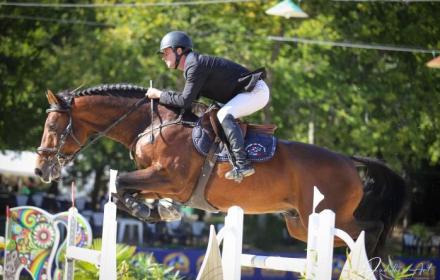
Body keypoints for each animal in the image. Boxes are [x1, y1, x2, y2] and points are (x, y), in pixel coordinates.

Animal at [34, 83, 406, 256]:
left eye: (52, 126)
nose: (40, 171)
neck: (153, 124)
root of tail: (349, 161)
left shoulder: (170, 178)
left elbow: (121, 184)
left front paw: (156, 211)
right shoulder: (159, 180)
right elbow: (124, 189)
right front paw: (161, 211)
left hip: (330, 215)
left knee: (370, 230)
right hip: (300, 224)